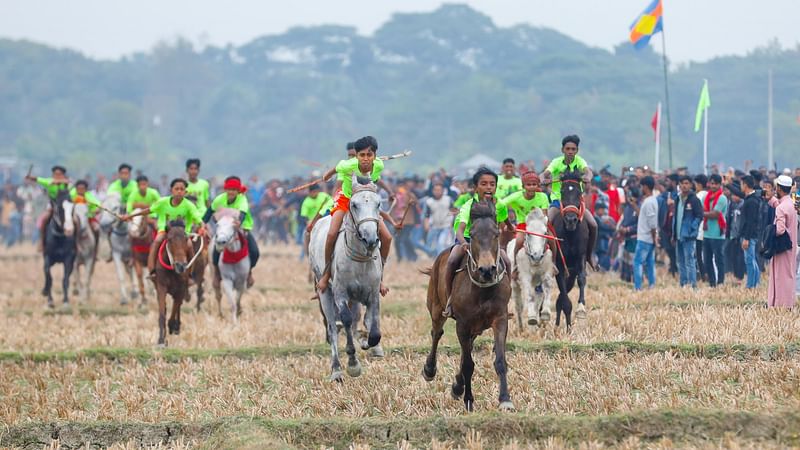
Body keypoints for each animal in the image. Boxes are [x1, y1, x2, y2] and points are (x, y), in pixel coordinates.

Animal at [310, 174, 384, 382]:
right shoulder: (340, 293)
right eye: (354, 205)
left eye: (378, 204)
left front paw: (368, 342)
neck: (360, 261)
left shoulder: (372, 293)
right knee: (333, 329)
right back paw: (336, 370)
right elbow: (346, 320)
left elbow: (374, 327)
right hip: (324, 292)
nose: (370, 239)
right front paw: (353, 364)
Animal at [422, 200, 516, 412]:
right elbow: (468, 365)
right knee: (436, 333)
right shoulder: (462, 324)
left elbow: (499, 360)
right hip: (436, 307)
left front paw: (505, 399)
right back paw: (430, 370)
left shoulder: (500, 318)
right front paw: (469, 400)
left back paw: (458, 385)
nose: (487, 269)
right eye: (472, 235)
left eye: (496, 233)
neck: (483, 290)